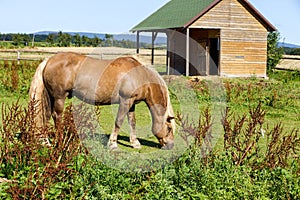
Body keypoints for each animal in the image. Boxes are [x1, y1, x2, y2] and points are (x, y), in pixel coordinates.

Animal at [29, 52, 175, 149]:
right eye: (169, 128)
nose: (170, 146)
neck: (140, 75)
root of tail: (49, 60)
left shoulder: (131, 103)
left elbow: (132, 122)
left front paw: (135, 143)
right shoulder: (125, 101)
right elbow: (118, 121)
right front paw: (112, 144)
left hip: (50, 97)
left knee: (46, 116)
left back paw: (45, 142)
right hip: (59, 97)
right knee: (56, 116)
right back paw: (60, 141)